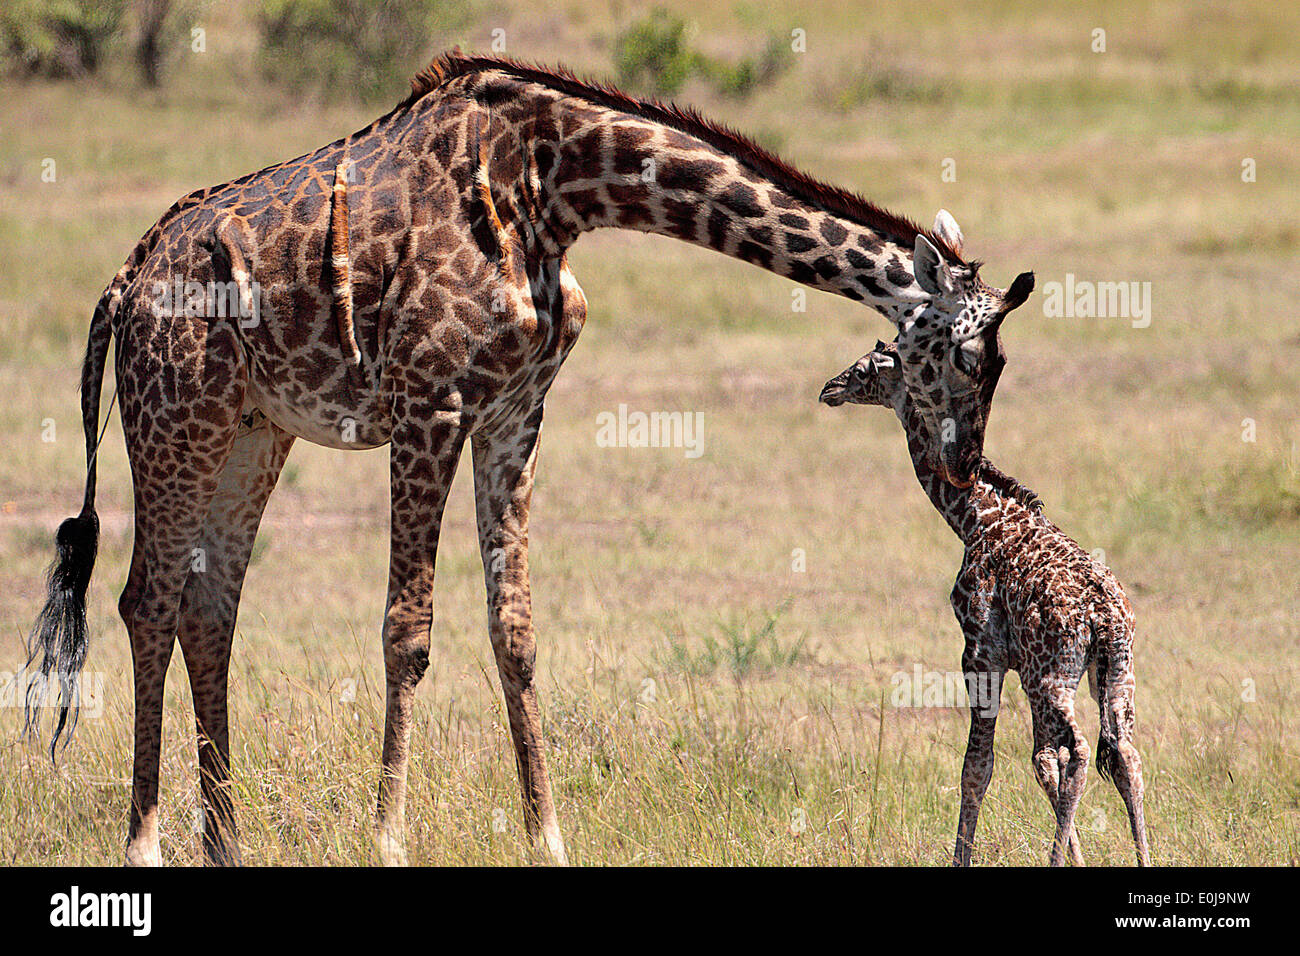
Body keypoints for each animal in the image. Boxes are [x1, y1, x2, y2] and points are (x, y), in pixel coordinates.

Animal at [26, 52, 1035, 866]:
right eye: (965, 359)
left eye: (997, 365)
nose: (965, 472)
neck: (555, 190)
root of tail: (126, 280)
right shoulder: (427, 407)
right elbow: (407, 630)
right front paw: (388, 840)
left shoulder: (515, 412)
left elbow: (515, 630)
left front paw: (547, 835)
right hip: (176, 420)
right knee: (146, 602)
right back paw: (146, 843)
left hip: (250, 433)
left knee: (209, 612)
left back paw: (227, 843)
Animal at [820, 341, 1150, 867]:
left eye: (864, 369)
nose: (828, 388)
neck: (973, 517)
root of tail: (1102, 615)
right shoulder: (1017, 665)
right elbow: (1039, 761)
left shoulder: (980, 654)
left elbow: (977, 766)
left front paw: (962, 858)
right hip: (1116, 672)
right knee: (1124, 754)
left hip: (1051, 676)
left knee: (1079, 751)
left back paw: (1055, 859)